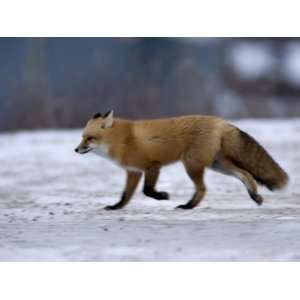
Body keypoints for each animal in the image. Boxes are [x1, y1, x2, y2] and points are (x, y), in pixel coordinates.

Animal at [74, 110, 288, 211]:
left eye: (90, 138)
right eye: (82, 137)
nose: (76, 149)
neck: (122, 140)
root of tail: (221, 121)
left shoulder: (152, 166)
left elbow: (147, 191)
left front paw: (162, 196)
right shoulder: (133, 171)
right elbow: (126, 195)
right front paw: (116, 207)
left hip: (192, 164)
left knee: (203, 188)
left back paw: (188, 206)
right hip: (217, 164)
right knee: (245, 174)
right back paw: (255, 195)